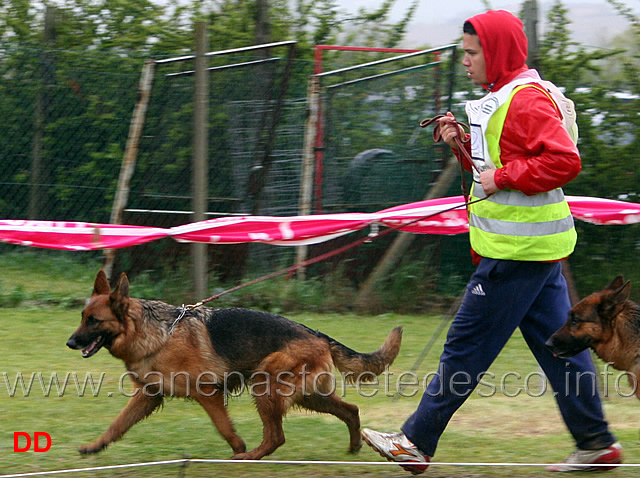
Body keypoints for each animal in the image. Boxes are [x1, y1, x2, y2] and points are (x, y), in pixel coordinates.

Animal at [67, 270, 402, 458]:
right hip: (309, 396)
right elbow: (117, 425)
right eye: (82, 317)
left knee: (277, 436)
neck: (154, 332)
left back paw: (249, 457)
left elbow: (225, 428)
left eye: (94, 321)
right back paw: (354, 447)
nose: (70, 343)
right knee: (351, 410)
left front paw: (238, 448)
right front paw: (94, 446)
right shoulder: (148, 396)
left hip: (265, 387)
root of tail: (317, 333)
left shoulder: (208, 394)